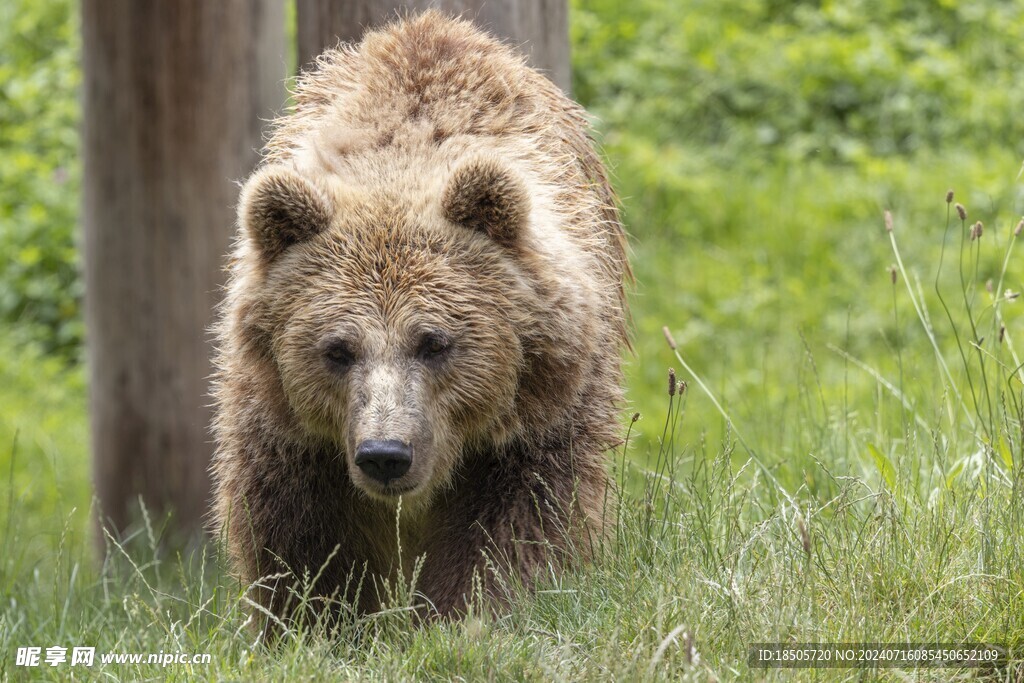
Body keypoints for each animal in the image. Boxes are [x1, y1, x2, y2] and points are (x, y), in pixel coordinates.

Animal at [210, 9, 626, 626]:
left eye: (434, 342)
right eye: (338, 349)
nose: (386, 455)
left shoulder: (537, 414)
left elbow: (517, 523)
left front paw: (468, 613)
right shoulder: (289, 429)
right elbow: (301, 538)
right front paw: (323, 620)